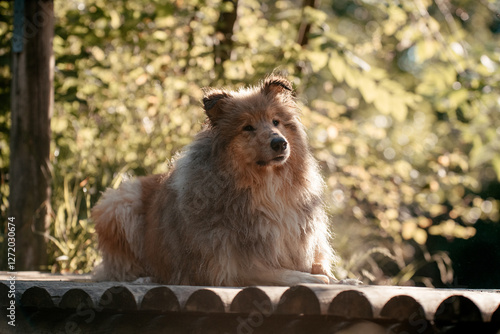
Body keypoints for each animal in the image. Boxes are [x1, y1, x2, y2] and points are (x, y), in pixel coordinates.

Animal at [91, 75, 340, 284]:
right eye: (247, 127)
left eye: (276, 121)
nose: (280, 143)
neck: (268, 190)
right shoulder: (227, 267)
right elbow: (279, 273)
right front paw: (314, 279)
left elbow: (320, 266)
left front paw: (336, 278)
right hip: (119, 201)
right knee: (121, 269)